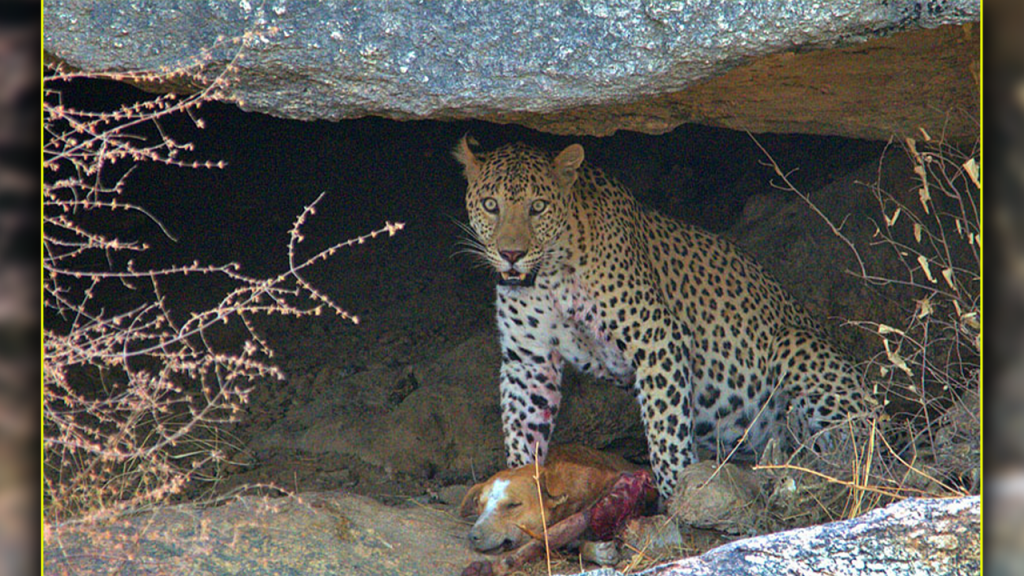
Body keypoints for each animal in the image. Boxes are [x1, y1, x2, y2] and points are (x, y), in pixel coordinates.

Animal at [456, 136, 880, 496]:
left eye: (538, 207)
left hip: (797, 346)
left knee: (859, 447)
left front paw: (677, 496)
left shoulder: (657, 338)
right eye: (491, 205)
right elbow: (521, 431)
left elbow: (666, 431)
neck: (550, 277)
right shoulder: (528, 360)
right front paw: (520, 493)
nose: (511, 254)